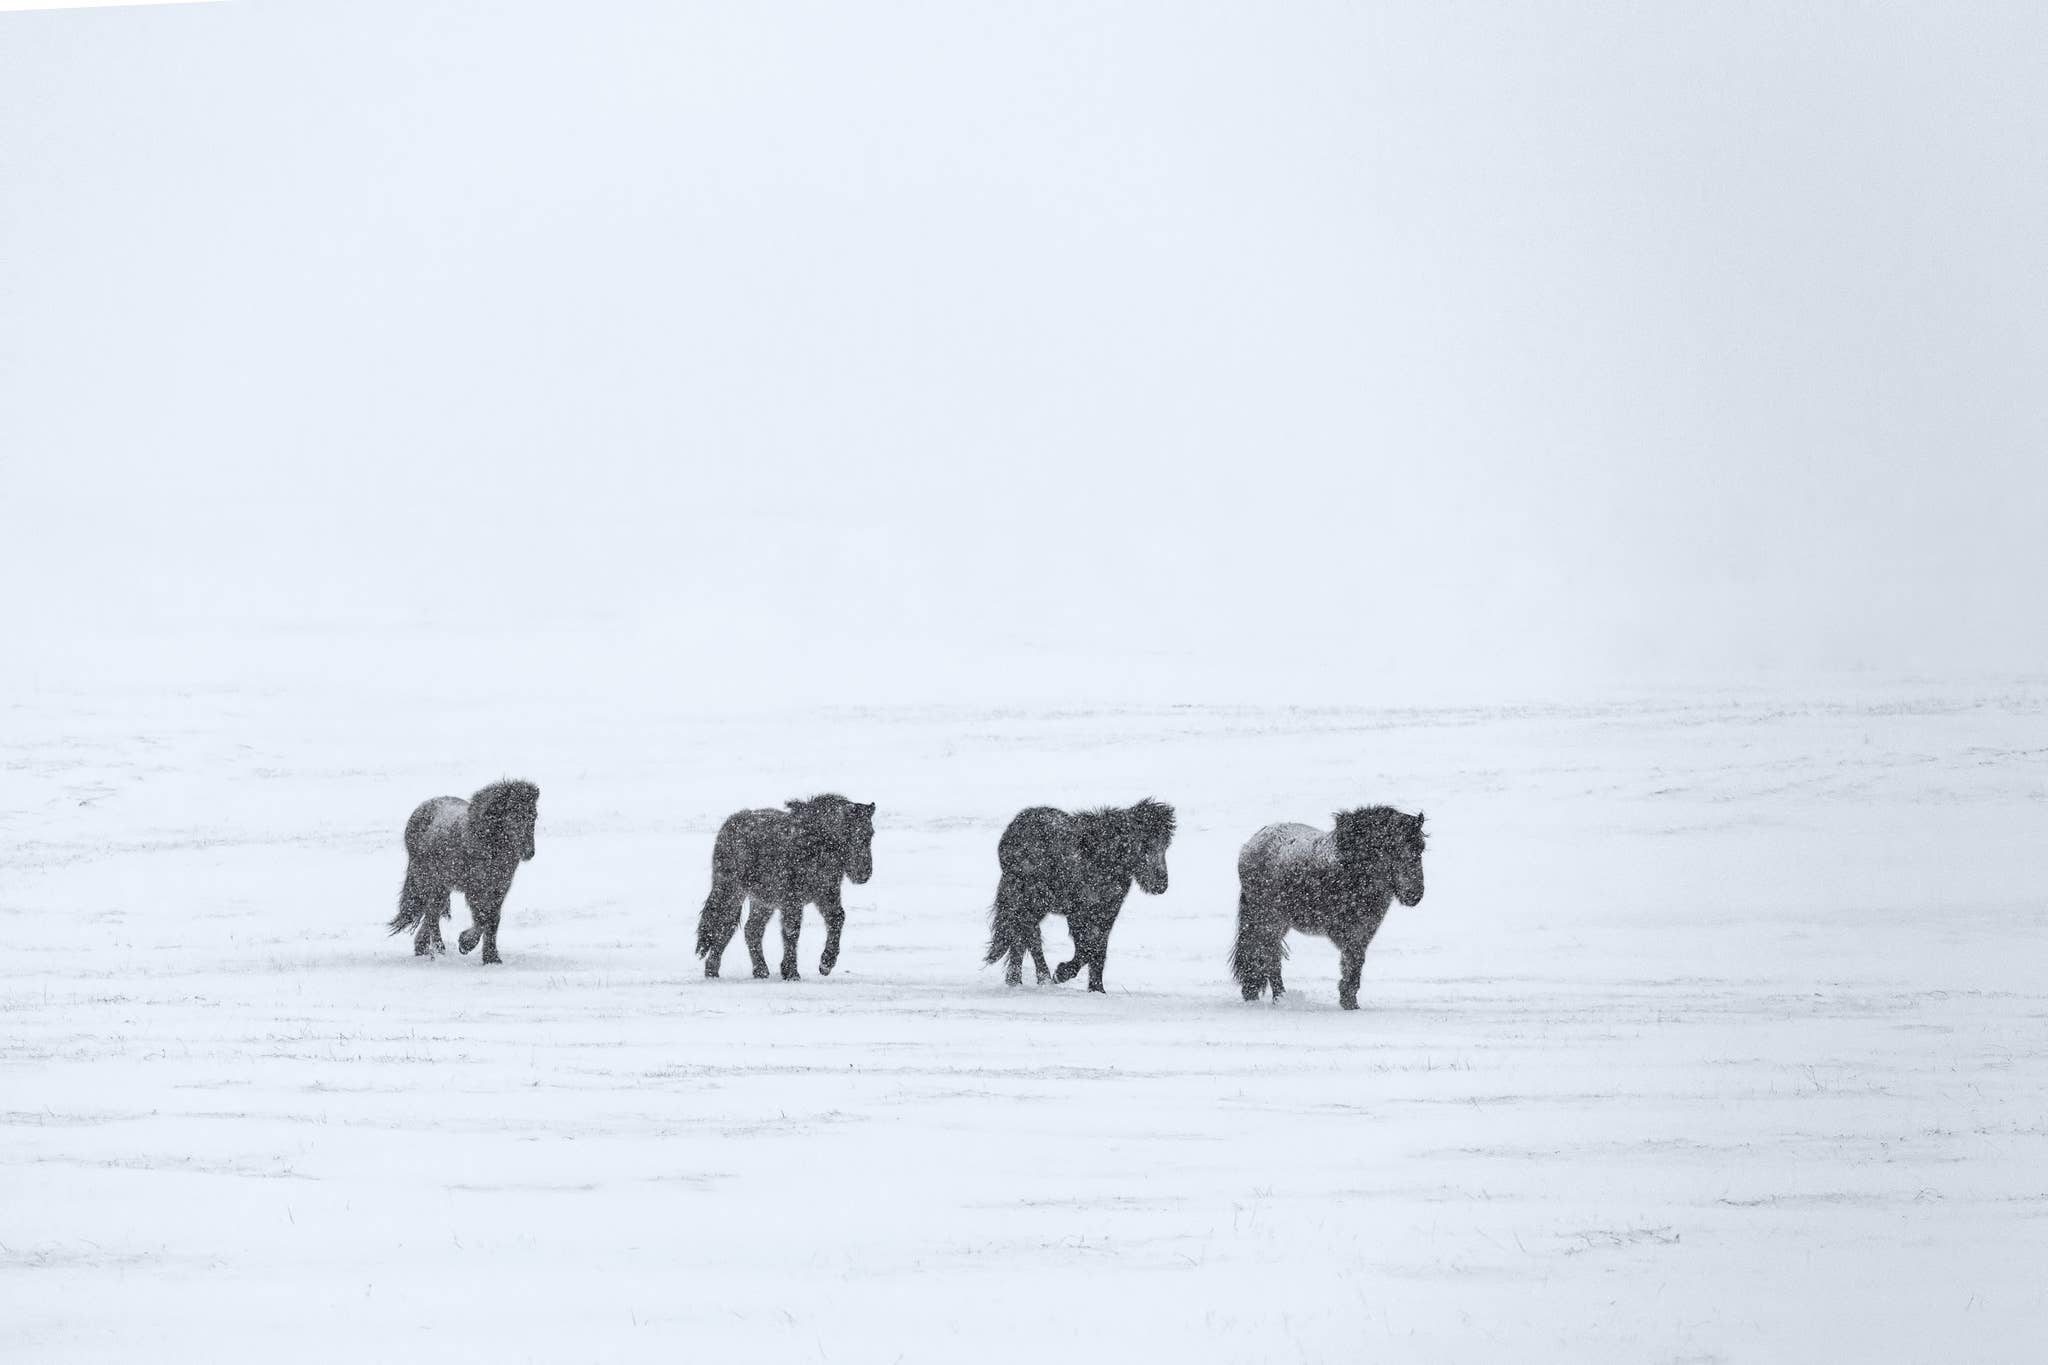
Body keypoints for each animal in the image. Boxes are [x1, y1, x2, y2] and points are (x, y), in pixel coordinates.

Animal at [387, 780, 540, 964]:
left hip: (442, 886)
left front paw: (491, 958)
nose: (529, 852)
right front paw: (466, 944)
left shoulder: (499, 889)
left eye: (534, 815)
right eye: (513, 815)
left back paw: (423, 947)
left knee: (433, 911)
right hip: (431, 881)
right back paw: (438, 949)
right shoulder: (475, 888)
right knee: (432, 913)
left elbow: (493, 919)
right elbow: (483, 917)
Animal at [696, 794, 876, 980]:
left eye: (870, 834)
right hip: (731, 890)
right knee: (724, 924)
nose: (864, 873)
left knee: (751, 929)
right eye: (848, 833)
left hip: (762, 901)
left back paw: (760, 970)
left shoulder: (826, 894)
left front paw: (826, 964)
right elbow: (792, 931)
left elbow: (837, 918)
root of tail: (729, 825)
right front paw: (791, 972)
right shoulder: (792, 899)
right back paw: (712, 970)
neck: (817, 844)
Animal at [983, 798, 1176, 992]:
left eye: (1166, 845)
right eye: (1144, 843)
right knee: (1030, 934)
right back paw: (1040, 978)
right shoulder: (1078, 912)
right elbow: (1087, 948)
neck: (1099, 859)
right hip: (1029, 898)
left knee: (1021, 935)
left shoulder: (1107, 912)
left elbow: (1099, 950)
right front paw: (1061, 973)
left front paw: (1097, 990)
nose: (1160, 885)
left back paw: (1015, 981)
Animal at [1231, 807, 1425, 1009]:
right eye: (1393, 849)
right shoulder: (1350, 931)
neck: (1353, 869)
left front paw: (1350, 1002)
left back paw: (1254, 993)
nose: (1414, 894)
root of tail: (1252, 843)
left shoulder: (1365, 930)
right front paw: (1349, 1002)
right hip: (1269, 919)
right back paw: (1280, 998)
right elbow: (1352, 961)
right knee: (1270, 957)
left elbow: (1354, 964)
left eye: (1421, 848)